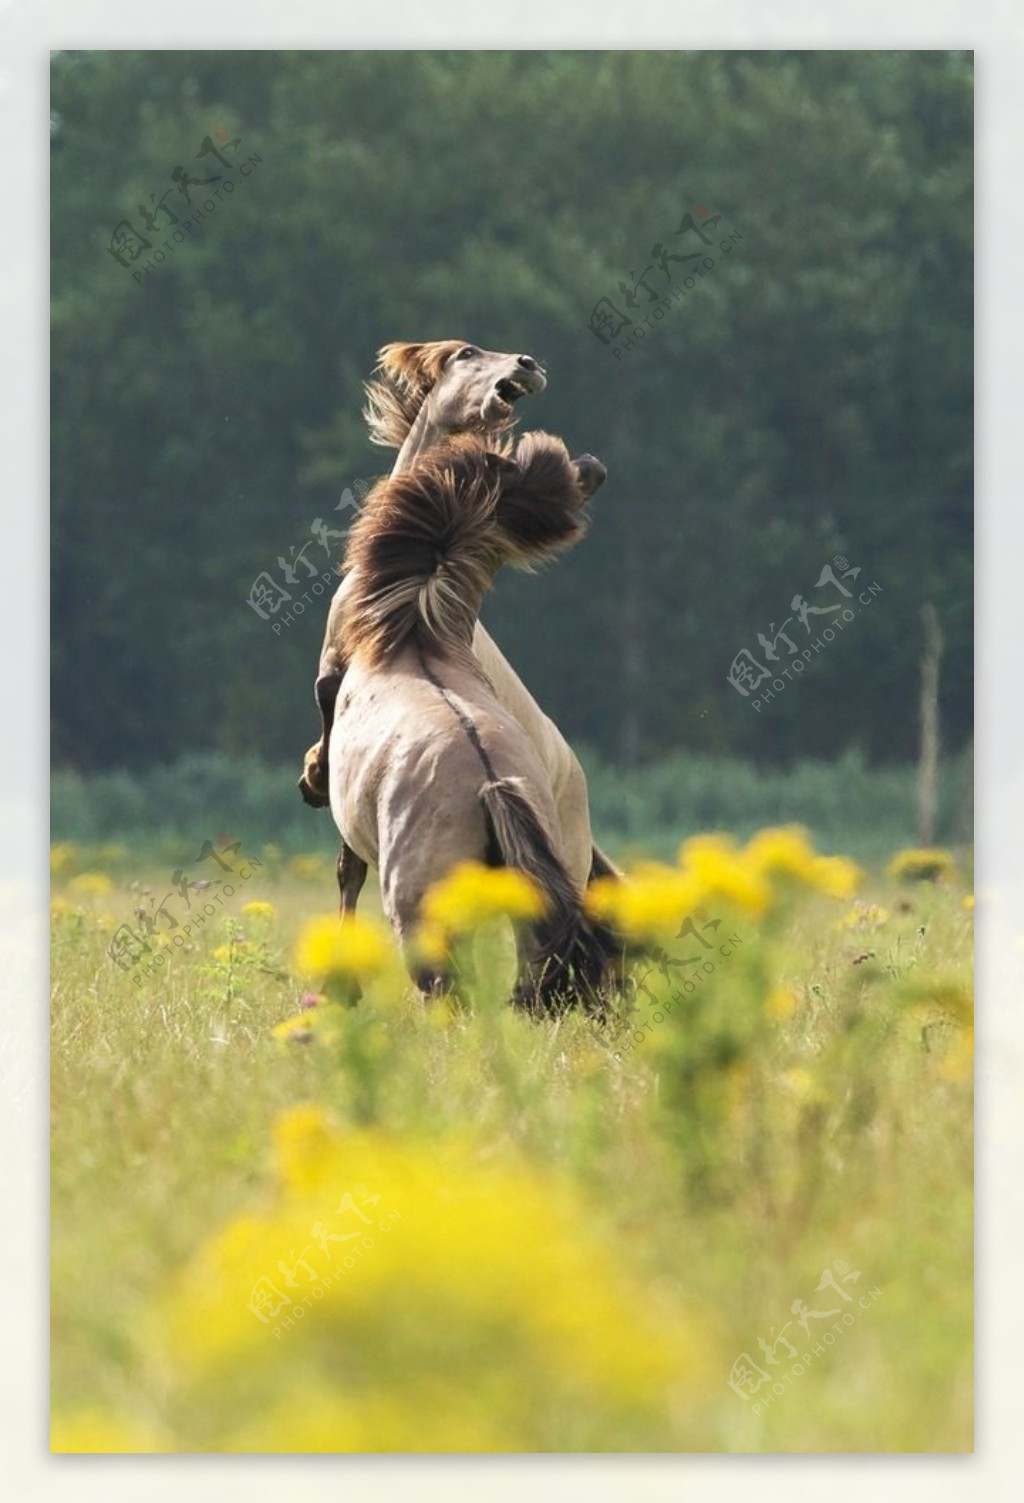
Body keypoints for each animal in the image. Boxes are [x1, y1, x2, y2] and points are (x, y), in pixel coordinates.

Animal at [330, 423, 610, 1010]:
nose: (594, 466)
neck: (415, 641)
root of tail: (492, 783)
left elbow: (348, 869)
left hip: (421, 915)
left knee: (444, 988)